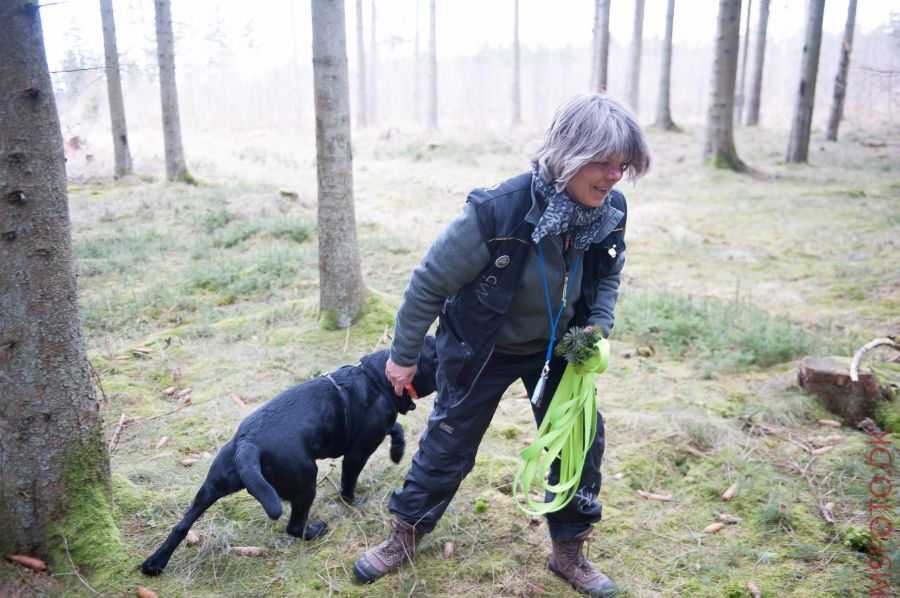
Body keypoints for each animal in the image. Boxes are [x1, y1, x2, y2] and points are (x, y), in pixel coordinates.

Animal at [141, 338, 436, 576]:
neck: (375, 379)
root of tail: (247, 442)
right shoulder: (358, 451)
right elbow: (348, 484)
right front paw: (355, 502)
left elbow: (396, 428)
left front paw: (397, 451)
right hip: (306, 482)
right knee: (294, 527)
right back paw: (317, 529)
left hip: (211, 487)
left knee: (181, 526)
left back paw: (154, 564)